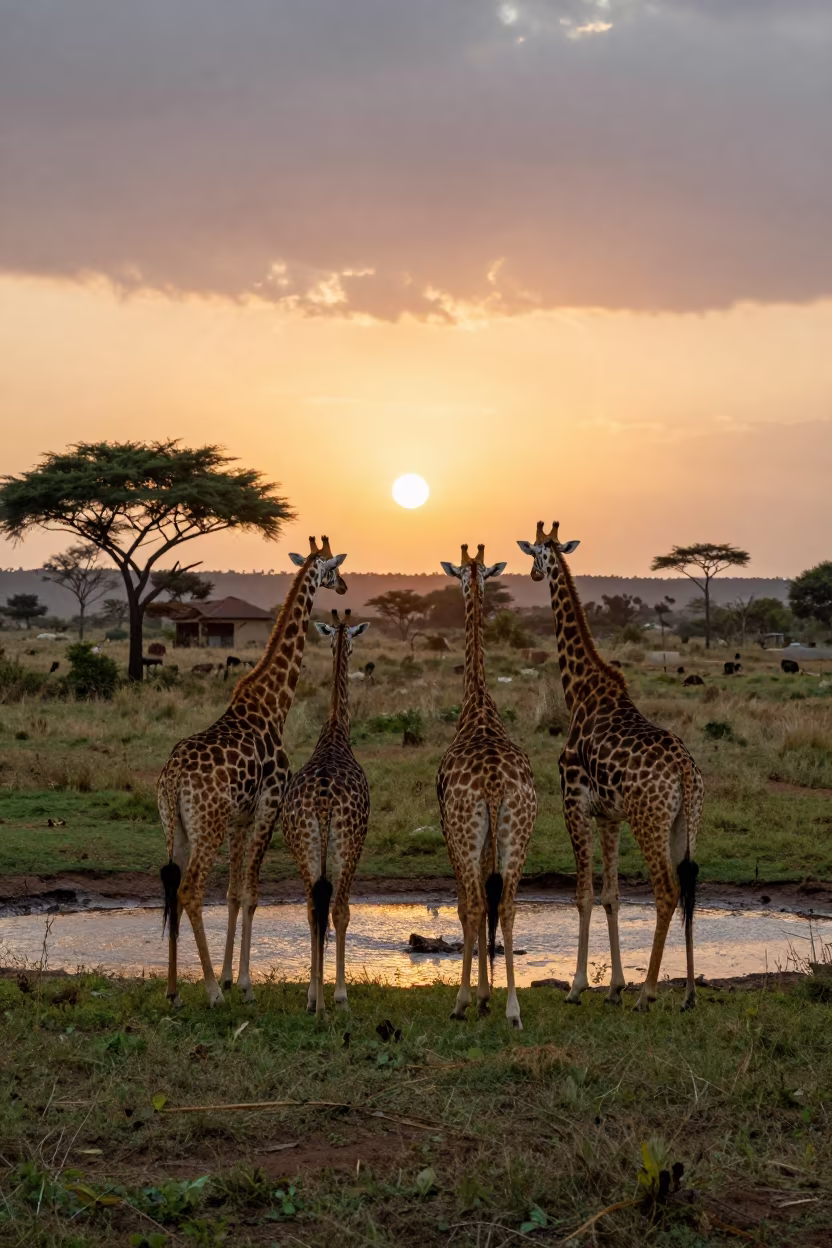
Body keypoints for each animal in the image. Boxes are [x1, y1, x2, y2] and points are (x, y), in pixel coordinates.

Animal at [157, 536, 348, 1007]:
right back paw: (210, 993)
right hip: (206, 826)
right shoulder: (268, 806)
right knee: (190, 890)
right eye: (334, 567)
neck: (272, 704)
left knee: (171, 885)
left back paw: (174, 990)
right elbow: (252, 893)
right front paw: (241, 984)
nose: (344, 587)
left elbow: (232, 894)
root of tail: (174, 780)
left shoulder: (240, 819)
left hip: (177, 827)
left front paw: (231, 975)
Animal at [517, 522, 704, 1011]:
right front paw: (615, 987)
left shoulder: (574, 804)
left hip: (650, 820)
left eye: (538, 551)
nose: (532, 574)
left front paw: (579, 986)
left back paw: (650, 993)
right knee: (691, 889)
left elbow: (583, 896)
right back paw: (688, 994)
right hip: (686, 822)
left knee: (667, 892)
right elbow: (611, 897)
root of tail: (684, 770)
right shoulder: (609, 816)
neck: (580, 692)